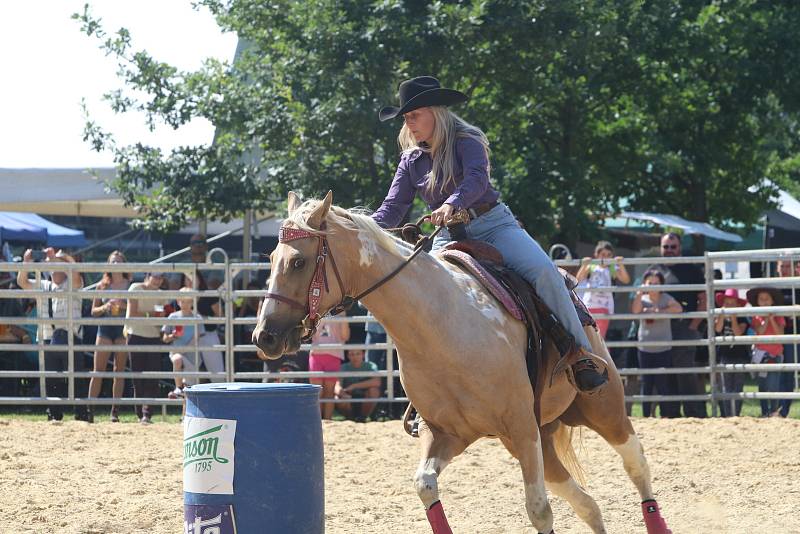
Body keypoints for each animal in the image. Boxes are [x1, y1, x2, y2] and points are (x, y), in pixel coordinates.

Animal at [255, 194, 668, 534]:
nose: (264, 337)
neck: (440, 323)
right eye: (271, 259)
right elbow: (425, 485)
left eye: (298, 261)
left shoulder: (520, 427)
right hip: (542, 438)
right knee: (588, 504)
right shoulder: (448, 434)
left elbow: (538, 510)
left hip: (603, 410)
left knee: (637, 466)